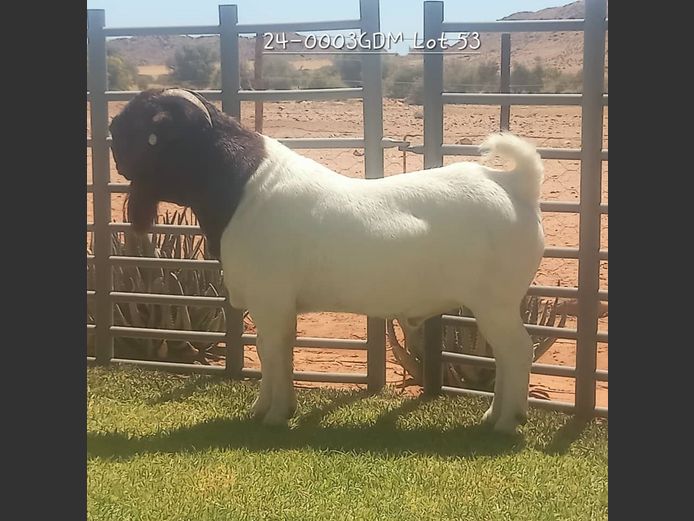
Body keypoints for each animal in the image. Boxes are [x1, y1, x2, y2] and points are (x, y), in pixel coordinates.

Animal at [109, 88, 545, 433]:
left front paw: (274, 415)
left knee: (517, 351)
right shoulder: (275, 305)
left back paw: (506, 421)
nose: (110, 135)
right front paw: (266, 409)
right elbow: (272, 350)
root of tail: (514, 184)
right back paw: (494, 416)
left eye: (149, 126)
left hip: (496, 301)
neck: (243, 189)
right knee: (505, 354)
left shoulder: (270, 300)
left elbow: (272, 350)